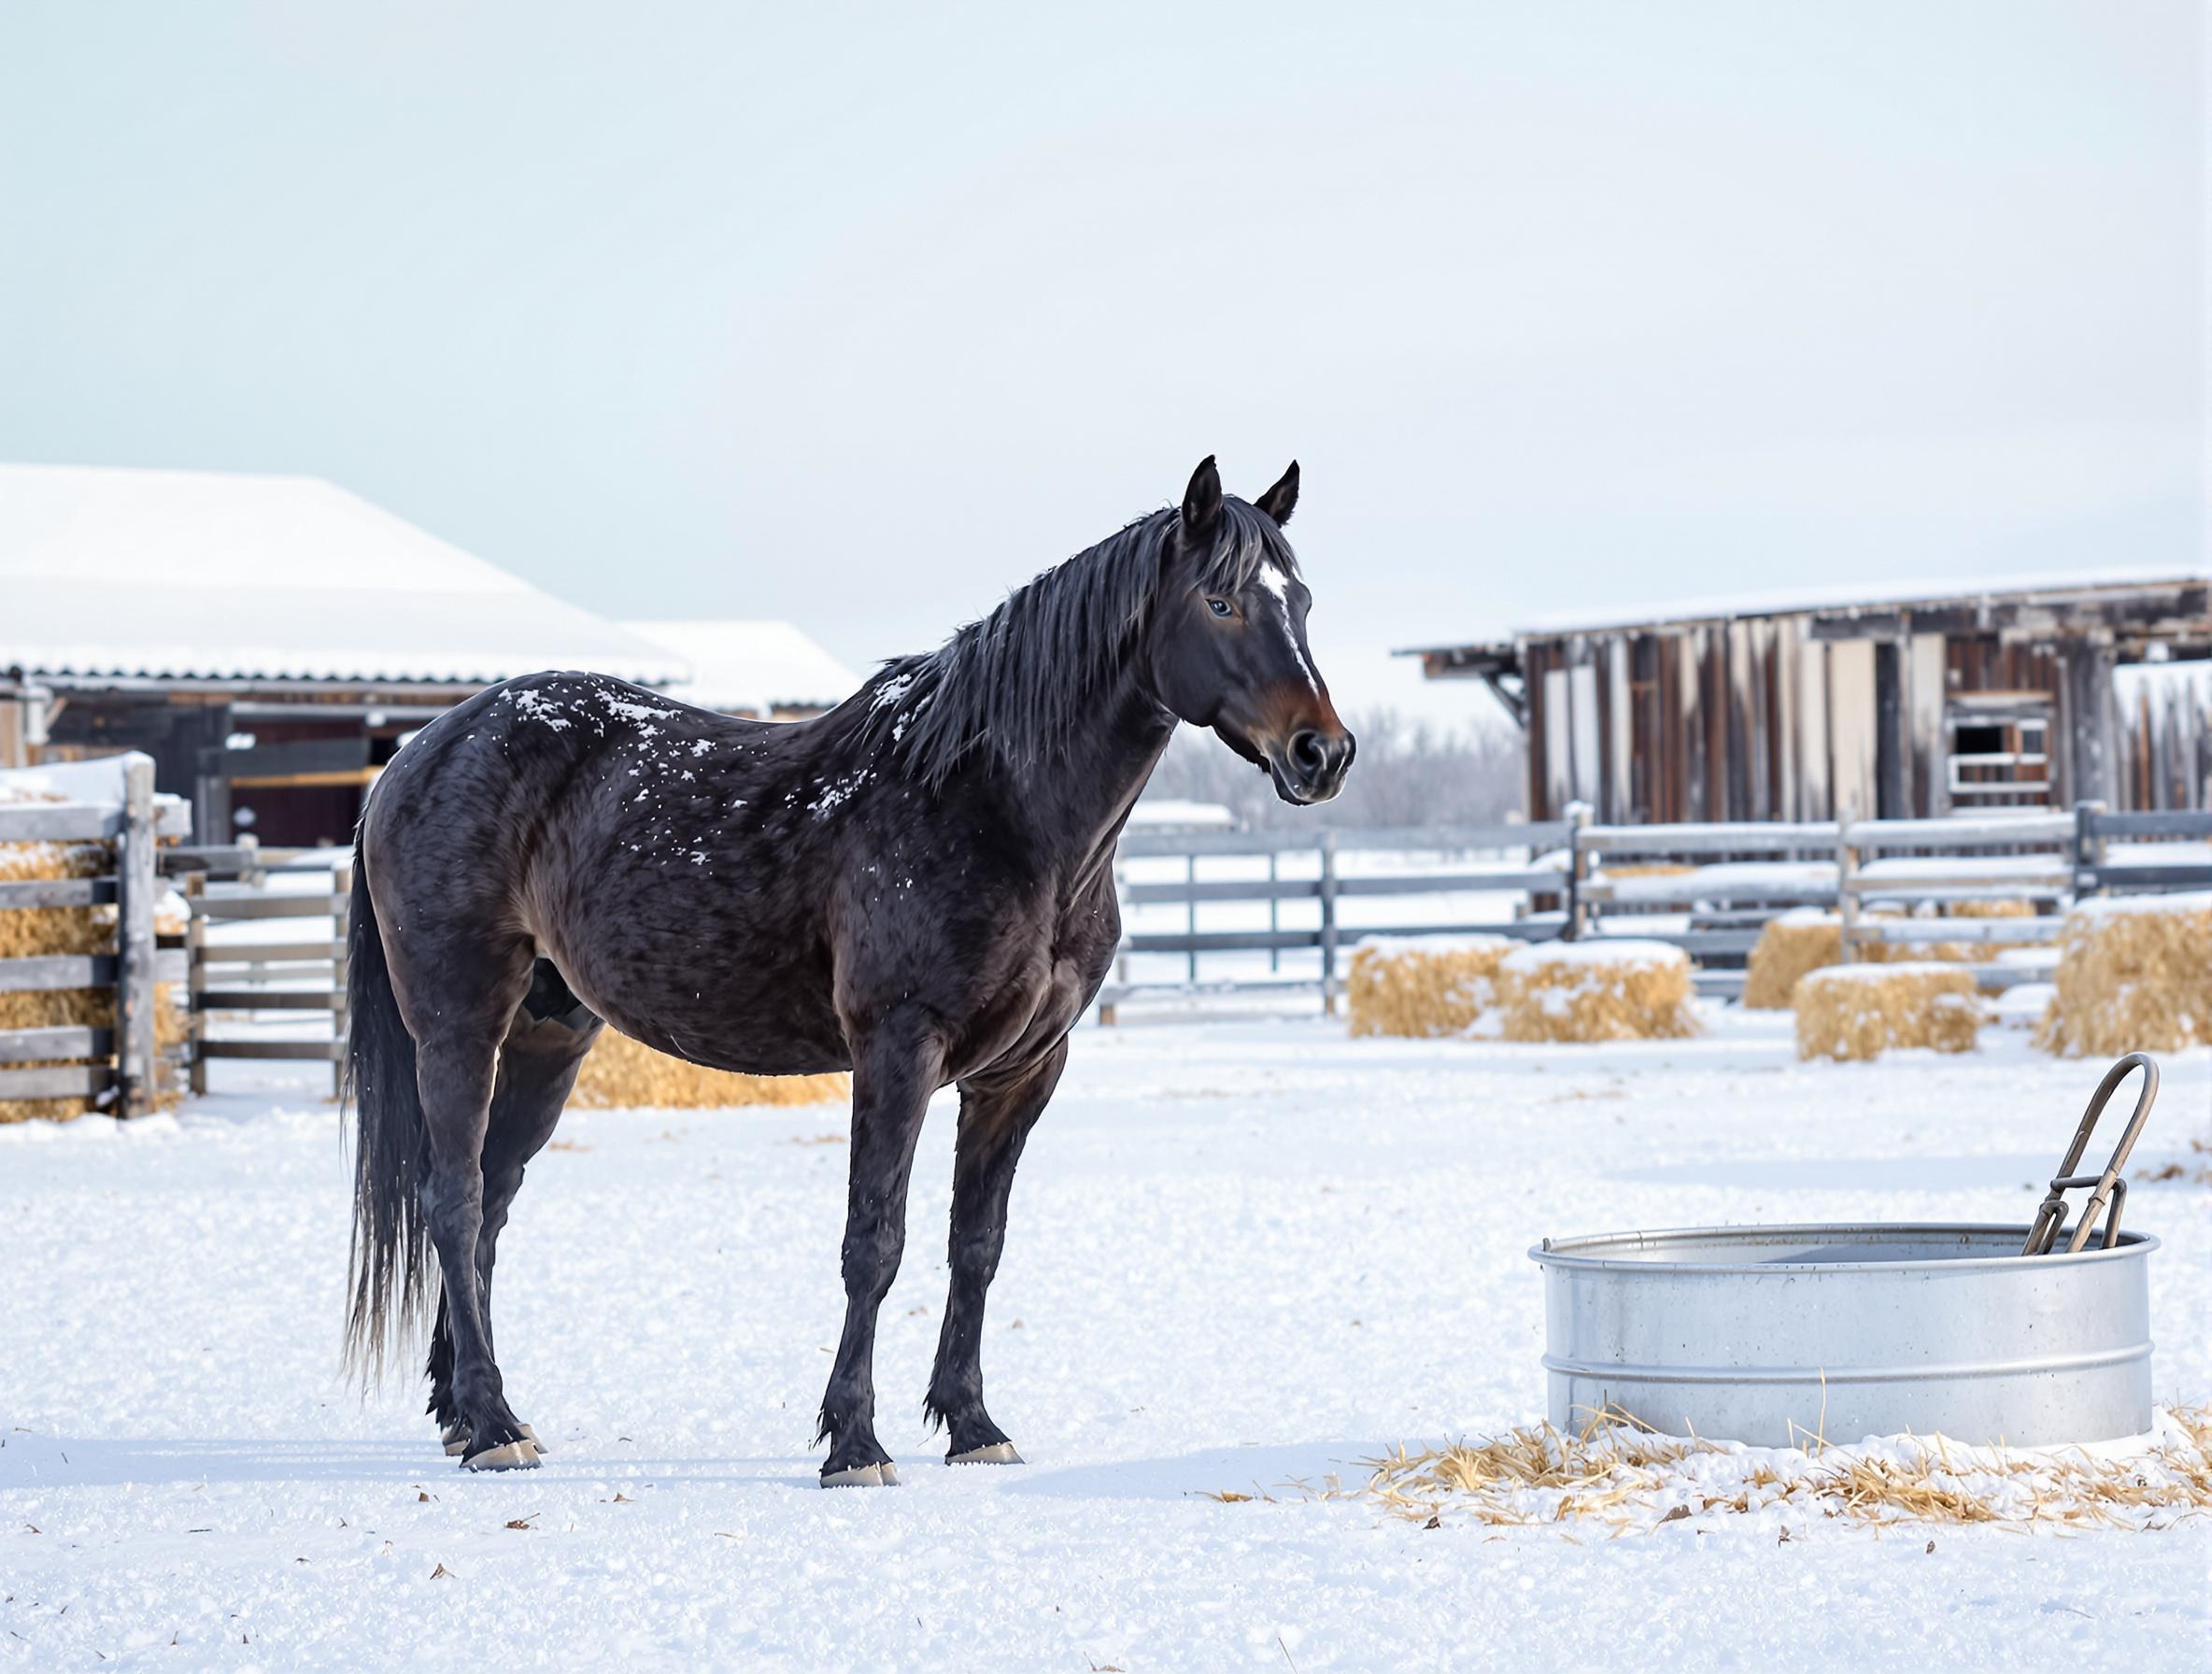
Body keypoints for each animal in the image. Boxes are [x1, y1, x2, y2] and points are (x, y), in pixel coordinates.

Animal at [349, 453, 1344, 1477]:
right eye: (1220, 601)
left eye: (1302, 600)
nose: (1322, 752)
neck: (996, 806)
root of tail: (415, 755)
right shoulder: (897, 1048)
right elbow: (875, 1241)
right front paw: (855, 1440)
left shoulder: (1023, 1071)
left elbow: (976, 1245)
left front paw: (973, 1424)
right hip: (460, 1024)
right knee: (453, 1201)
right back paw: (493, 1424)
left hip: (548, 1034)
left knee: (490, 1206)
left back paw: (467, 1411)